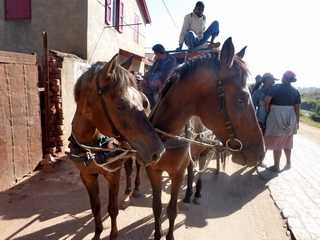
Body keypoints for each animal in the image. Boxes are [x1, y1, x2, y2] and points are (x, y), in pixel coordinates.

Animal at [70, 54, 165, 240]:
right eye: (120, 105)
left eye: (142, 105)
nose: (159, 150)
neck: (92, 147)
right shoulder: (87, 175)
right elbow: (96, 207)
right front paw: (97, 233)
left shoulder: (112, 174)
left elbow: (111, 209)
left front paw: (113, 235)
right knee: (128, 167)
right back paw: (127, 192)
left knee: (136, 166)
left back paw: (135, 190)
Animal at [148, 38, 264, 240]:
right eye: (241, 99)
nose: (261, 152)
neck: (164, 138)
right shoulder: (153, 171)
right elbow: (156, 208)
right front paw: (157, 232)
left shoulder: (177, 174)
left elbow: (171, 210)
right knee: (192, 169)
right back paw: (188, 194)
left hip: (207, 150)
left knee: (200, 170)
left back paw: (196, 193)